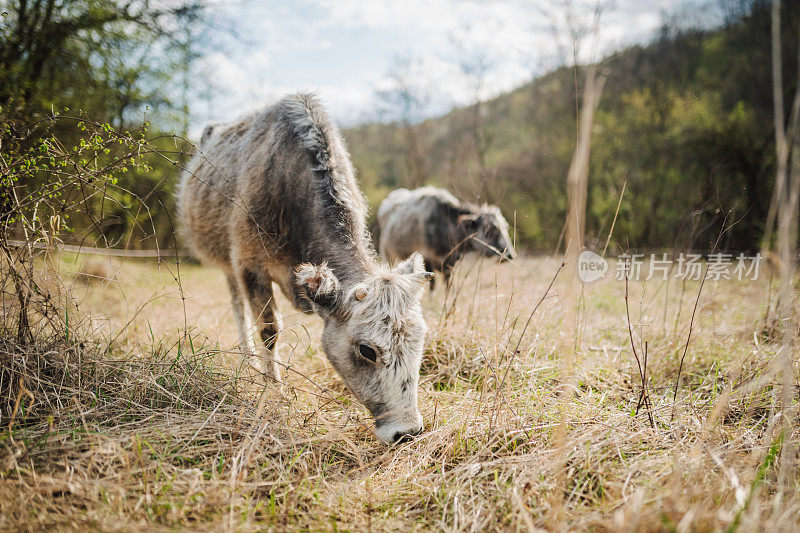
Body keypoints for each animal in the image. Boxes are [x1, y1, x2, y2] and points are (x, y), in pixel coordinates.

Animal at [179, 93, 434, 442]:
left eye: (420, 342)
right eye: (366, 350)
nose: (407, 432)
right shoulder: (248, 264)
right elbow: (269, 330)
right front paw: (272, 389)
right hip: (226, 262)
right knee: (237, 306)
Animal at [378, 186, 516, 288]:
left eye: (506, 227)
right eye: (492, 229)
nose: (510, 255)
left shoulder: (451, 262)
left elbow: (447, 283)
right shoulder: (427, 257)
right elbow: (432, 284)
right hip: (387, 253)